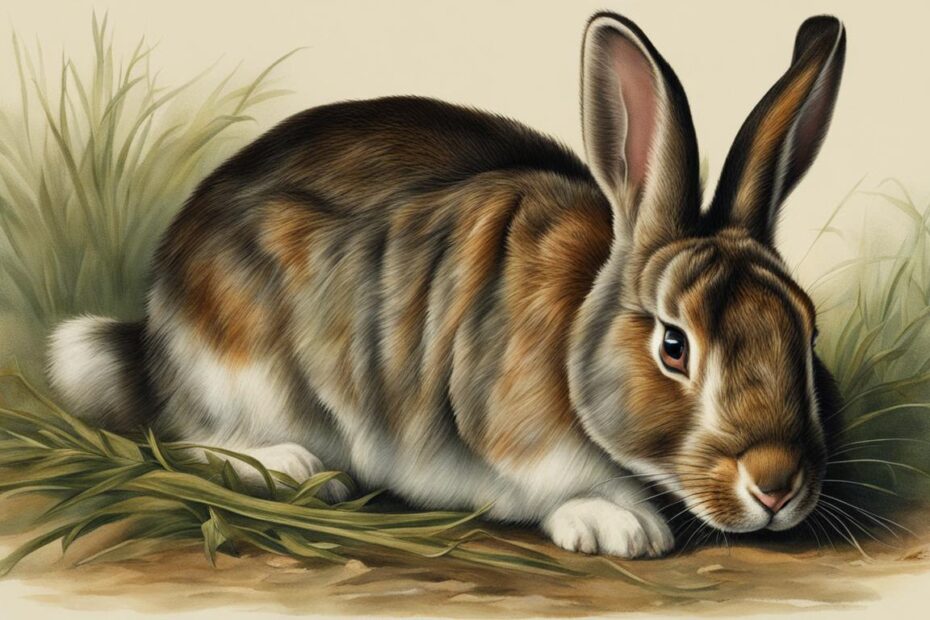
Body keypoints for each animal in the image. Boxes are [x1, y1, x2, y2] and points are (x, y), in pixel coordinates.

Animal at [47, 12, 846, 558]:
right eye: (674, 346)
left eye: (808, 336)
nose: (776, 484)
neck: (575, 336)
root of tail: (154, 335)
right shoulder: (512, 439)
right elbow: (565, 483)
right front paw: (622, 524)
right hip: (239, 367)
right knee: (192, 435)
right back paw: (293, 470)